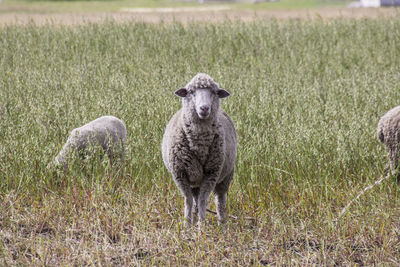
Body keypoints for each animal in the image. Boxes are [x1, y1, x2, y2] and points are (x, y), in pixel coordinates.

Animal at [160, 72, 236, 227]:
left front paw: (202, 227)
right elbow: (188, 201)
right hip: (195, 178)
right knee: (194, 199)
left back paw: (222, 225)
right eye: (191, 92)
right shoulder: (180, 174)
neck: (199, 143)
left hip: (225, 176)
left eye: (214, 92)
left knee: (220, 201)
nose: (204, 108)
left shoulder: (211, 174)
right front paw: (187, 225)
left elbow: (202, 201)